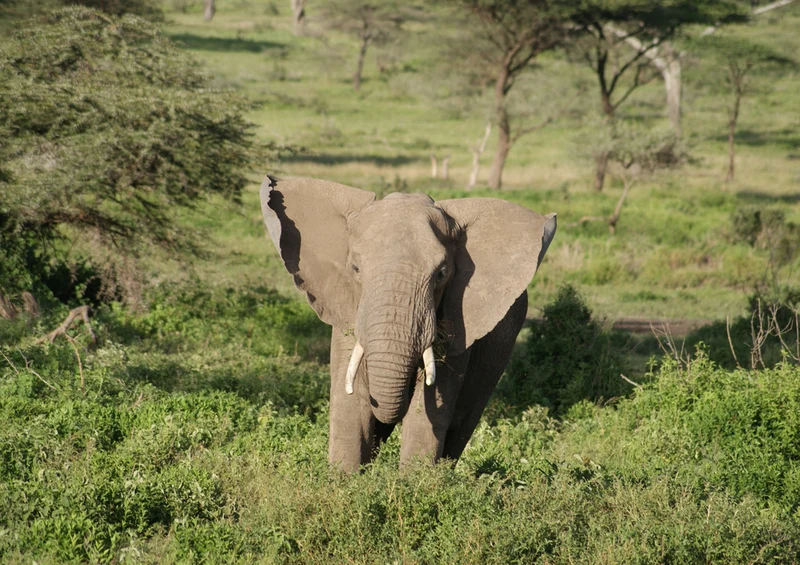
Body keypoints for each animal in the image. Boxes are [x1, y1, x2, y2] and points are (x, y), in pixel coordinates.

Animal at [260, 174, 556, 472]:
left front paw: (417, 480)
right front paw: (343, 478)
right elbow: (351, 402)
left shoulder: (460, 321)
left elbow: (430, 407)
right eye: (355, 269)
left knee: (462, 422)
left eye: (442, 274)